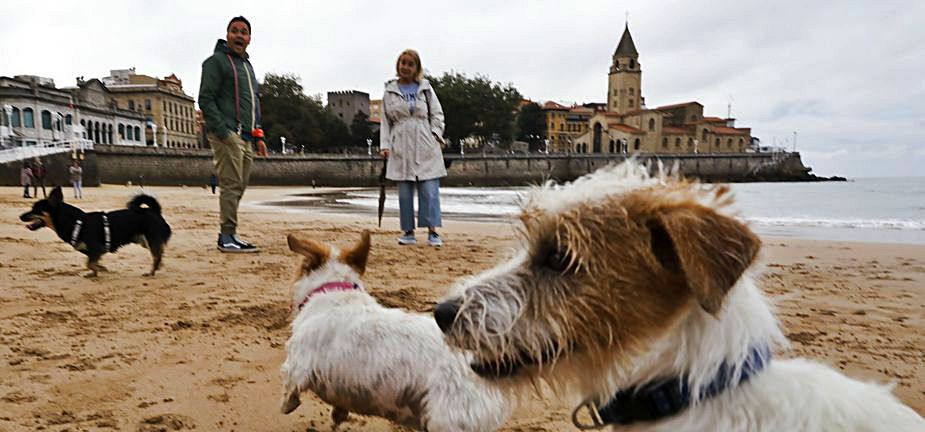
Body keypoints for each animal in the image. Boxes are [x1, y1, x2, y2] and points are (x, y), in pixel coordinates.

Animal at [19, 186, 171, 276]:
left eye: (36, 210)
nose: (20, 216)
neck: (76, 222)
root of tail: (154, 211)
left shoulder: (97, 249)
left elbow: (89, 263)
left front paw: (100, 270)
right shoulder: (92, 252)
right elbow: (90, 263)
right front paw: (96, 272)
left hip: (151, 239)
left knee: (157, 255)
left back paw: (151, 272)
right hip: (144, 241)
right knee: (160, 253)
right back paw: (159, 266)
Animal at [282, 231, 512, 432]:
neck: (335, 291)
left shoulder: (297, 363)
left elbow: (290, 388)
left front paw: (287, 405)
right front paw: (338, 416)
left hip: (449, 421)